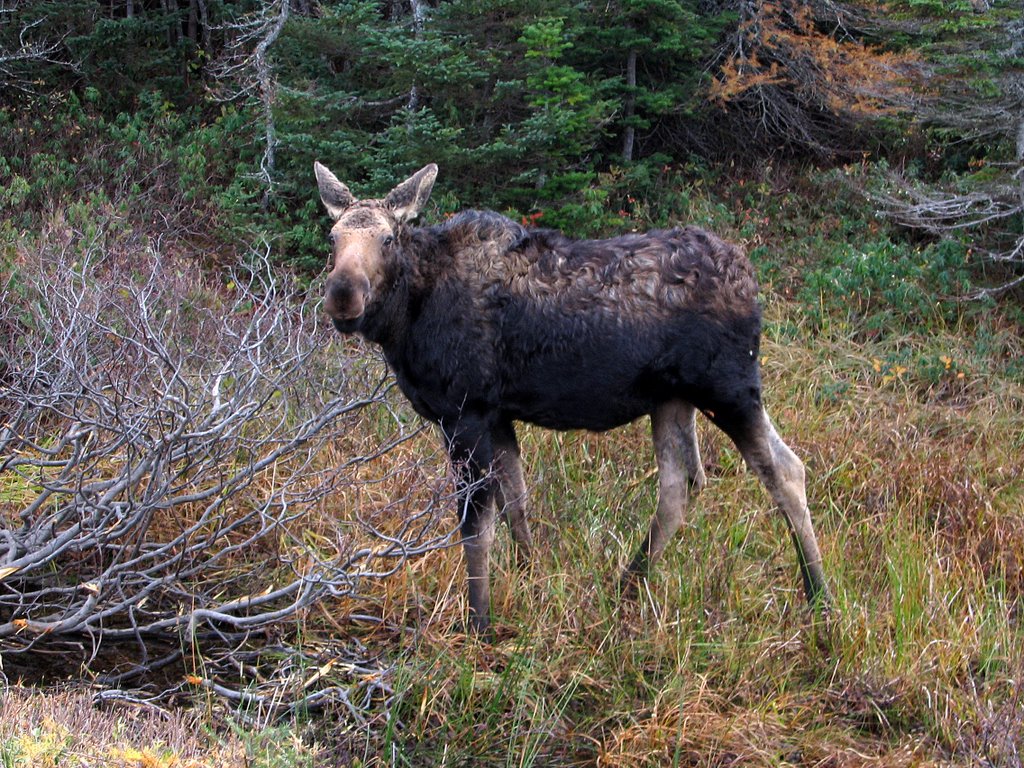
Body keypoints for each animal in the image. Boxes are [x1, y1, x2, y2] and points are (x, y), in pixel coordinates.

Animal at [313, 160, 831, 630]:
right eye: (333, 238)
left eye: (387, 239)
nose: (343, 293)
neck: (407, 318)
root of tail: (750, 277)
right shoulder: (497, 413)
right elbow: (516, 502)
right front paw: (530, 575)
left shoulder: (465, 412)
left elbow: (476, 527)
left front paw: (479, 621)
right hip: (672, 399)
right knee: (680, 484)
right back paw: (629, 583)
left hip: (729, 388)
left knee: (786, 471)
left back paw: (819, 597)